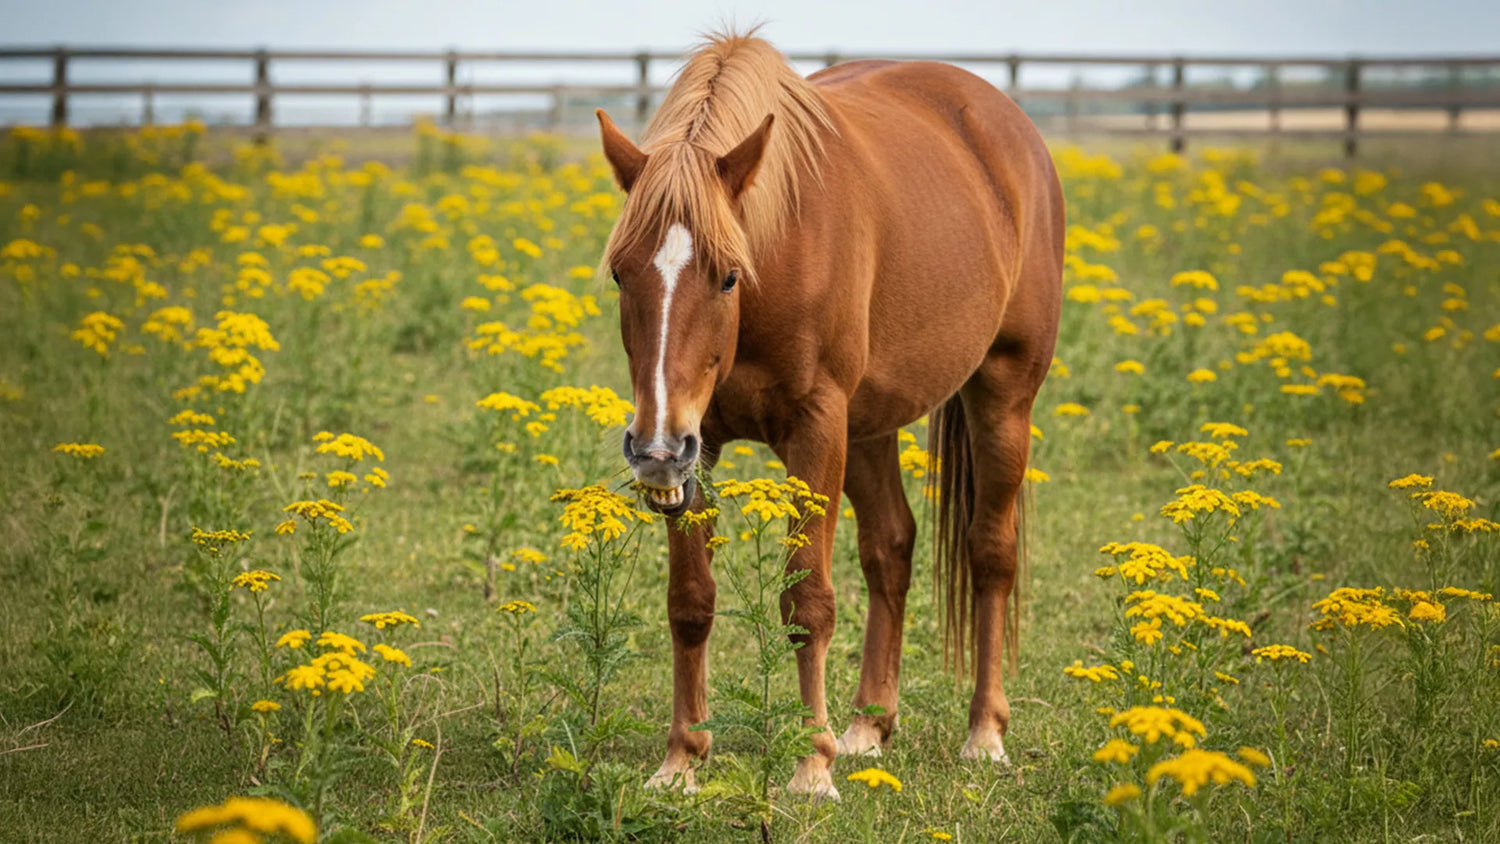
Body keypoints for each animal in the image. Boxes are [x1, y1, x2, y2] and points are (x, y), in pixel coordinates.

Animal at [595, 31, 1063, 799]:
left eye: (728, 275)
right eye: (619, 272)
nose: (653, 450)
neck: (779, 247)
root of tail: (1002, 120)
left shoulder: (815, 430)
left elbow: (806, 602)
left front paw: (812, 766)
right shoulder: (701, 445)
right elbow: (690, 602)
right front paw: (682, 759)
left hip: (1002, 395)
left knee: (991, 554)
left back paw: (984, 733)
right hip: (869, 426)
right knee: (891, 549)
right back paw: (869, 724)